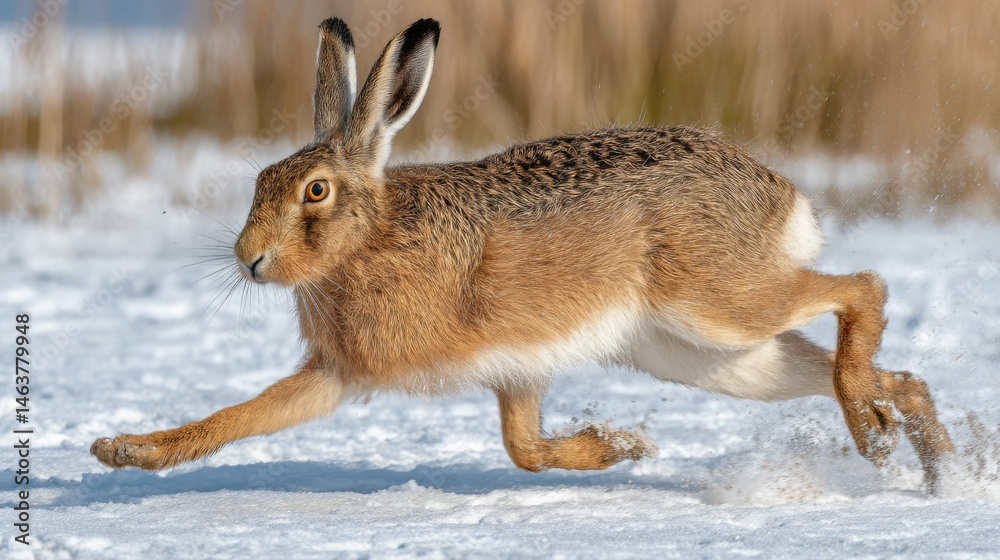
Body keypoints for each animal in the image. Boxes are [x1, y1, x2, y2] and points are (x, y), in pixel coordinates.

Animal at [92, 17, 953, 489]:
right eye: (260, 182)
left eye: (315, 192)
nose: (251, 260)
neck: (371, 238)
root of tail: (779, 194)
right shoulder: (408, 372)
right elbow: (243, 417)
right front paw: (122, 451)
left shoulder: (500, 355)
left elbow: (524, 452)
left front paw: (617, 445)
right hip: (702, 355)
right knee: (872, 365)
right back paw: (927, 451)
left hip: (714, 301)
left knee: (864, 287)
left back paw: (871, 426)